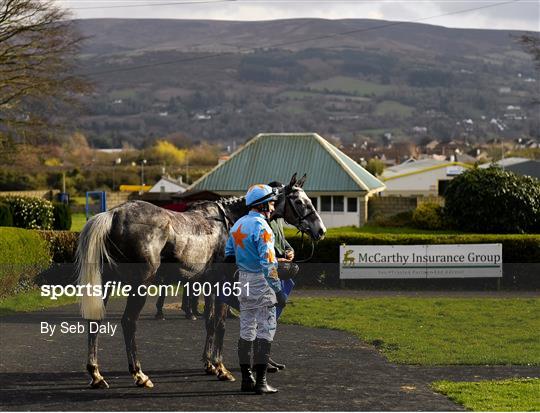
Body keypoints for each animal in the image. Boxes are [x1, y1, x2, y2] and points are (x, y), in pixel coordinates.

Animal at [75, 172, 324, 388]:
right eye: (299, 201)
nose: (320, 230)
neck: (228, 223)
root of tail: (113, 214)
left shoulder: (209, 283)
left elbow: (210, 322)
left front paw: (209, 364)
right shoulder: (224, 283)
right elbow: (220, 324)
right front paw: (221, 368)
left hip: (107, 282)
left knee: (95, 321)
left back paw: (96, 374)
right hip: (140, 284)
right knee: (128, 322)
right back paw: (139, 374)